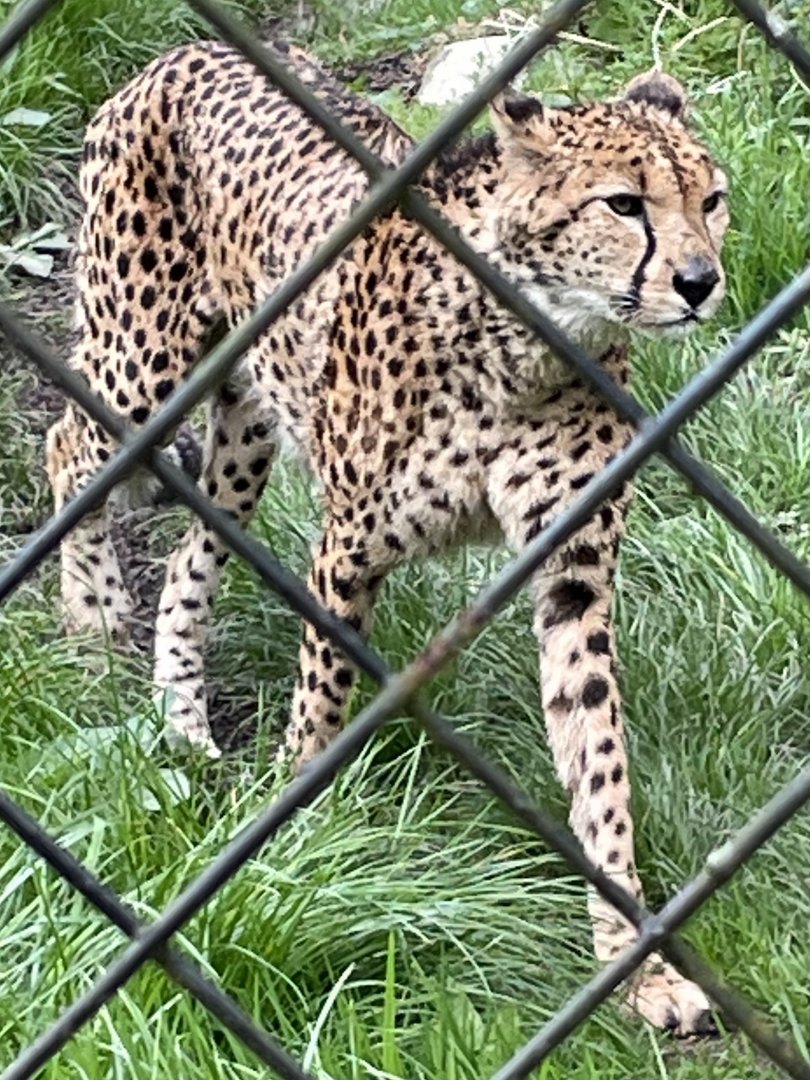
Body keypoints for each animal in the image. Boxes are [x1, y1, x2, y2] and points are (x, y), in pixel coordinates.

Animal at [45, 39, 729, 1036]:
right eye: (624, 203)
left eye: (710, 200)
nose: (699, 282)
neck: (531, 340)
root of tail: (185, 51)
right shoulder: (348, 551)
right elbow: (322, 705)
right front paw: (292, 835)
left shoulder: (573, 574)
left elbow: (598, 760)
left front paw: (635, 965)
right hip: (141, 364)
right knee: (67, 451)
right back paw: (92, 628)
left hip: (247, 421)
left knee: (186, 551)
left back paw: (184, 719)